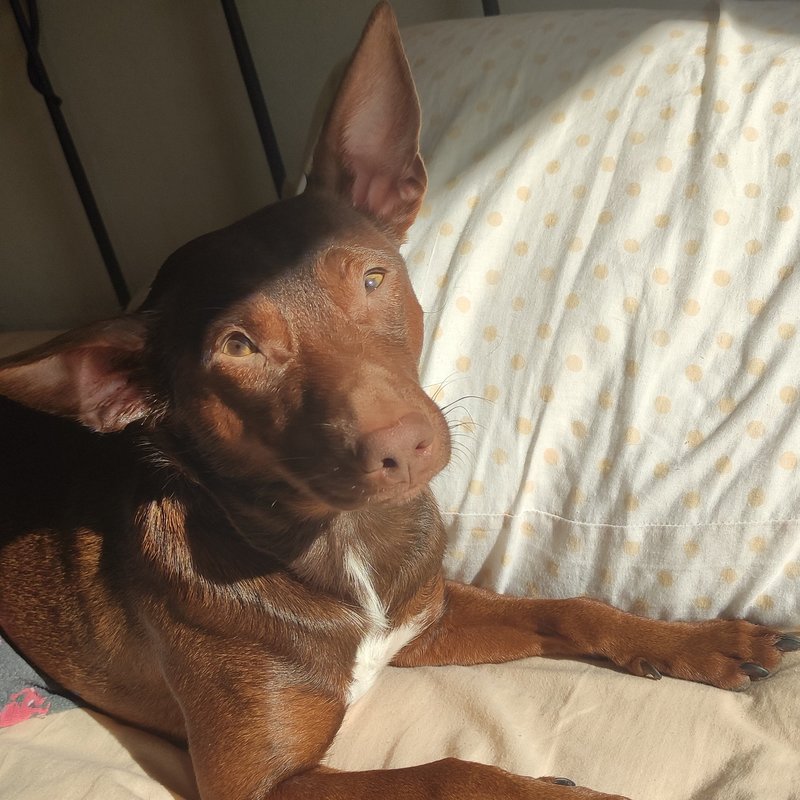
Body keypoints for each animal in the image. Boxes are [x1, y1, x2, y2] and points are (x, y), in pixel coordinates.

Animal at [1, 4, 797, 798]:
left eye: (373, 279)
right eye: (237, 348)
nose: (404, 445)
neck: (348, 544)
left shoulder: (428, 622)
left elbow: (569, 607)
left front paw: (697, 640)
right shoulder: (263, 785)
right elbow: (450, 770)